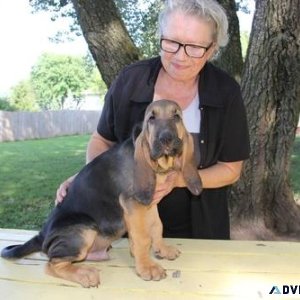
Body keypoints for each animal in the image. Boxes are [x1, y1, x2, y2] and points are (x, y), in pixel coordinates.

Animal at [1, 99, 203, 288]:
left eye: (176, 117)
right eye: (151, 119)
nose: (166, 139)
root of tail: (41, 234)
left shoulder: (149, 203)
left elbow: (156, 227)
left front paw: (162, 249)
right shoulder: (132, 203)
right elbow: (142, 237)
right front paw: (147, 267)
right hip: (84, 230)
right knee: (51, 263)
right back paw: (84, 274)